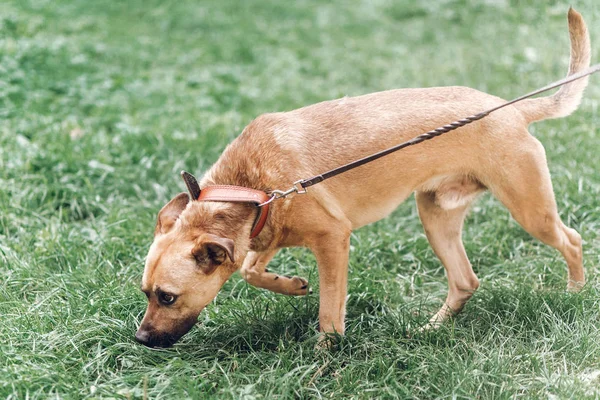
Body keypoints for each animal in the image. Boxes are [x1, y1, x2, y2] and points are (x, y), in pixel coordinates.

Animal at [136, 9, 592, 346]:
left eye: (167, 296)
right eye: (145, 292)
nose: (140, 339)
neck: (250, 187)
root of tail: (510, 108)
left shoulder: (333, 239)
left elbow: (328, 312)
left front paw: (325, 356)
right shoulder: (265, 230)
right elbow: (250, 268)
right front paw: (292, 284)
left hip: (530, 209)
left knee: (571, 241)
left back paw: (575, 293)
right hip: (436, 215)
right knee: (465, 280)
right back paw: (429, 329)